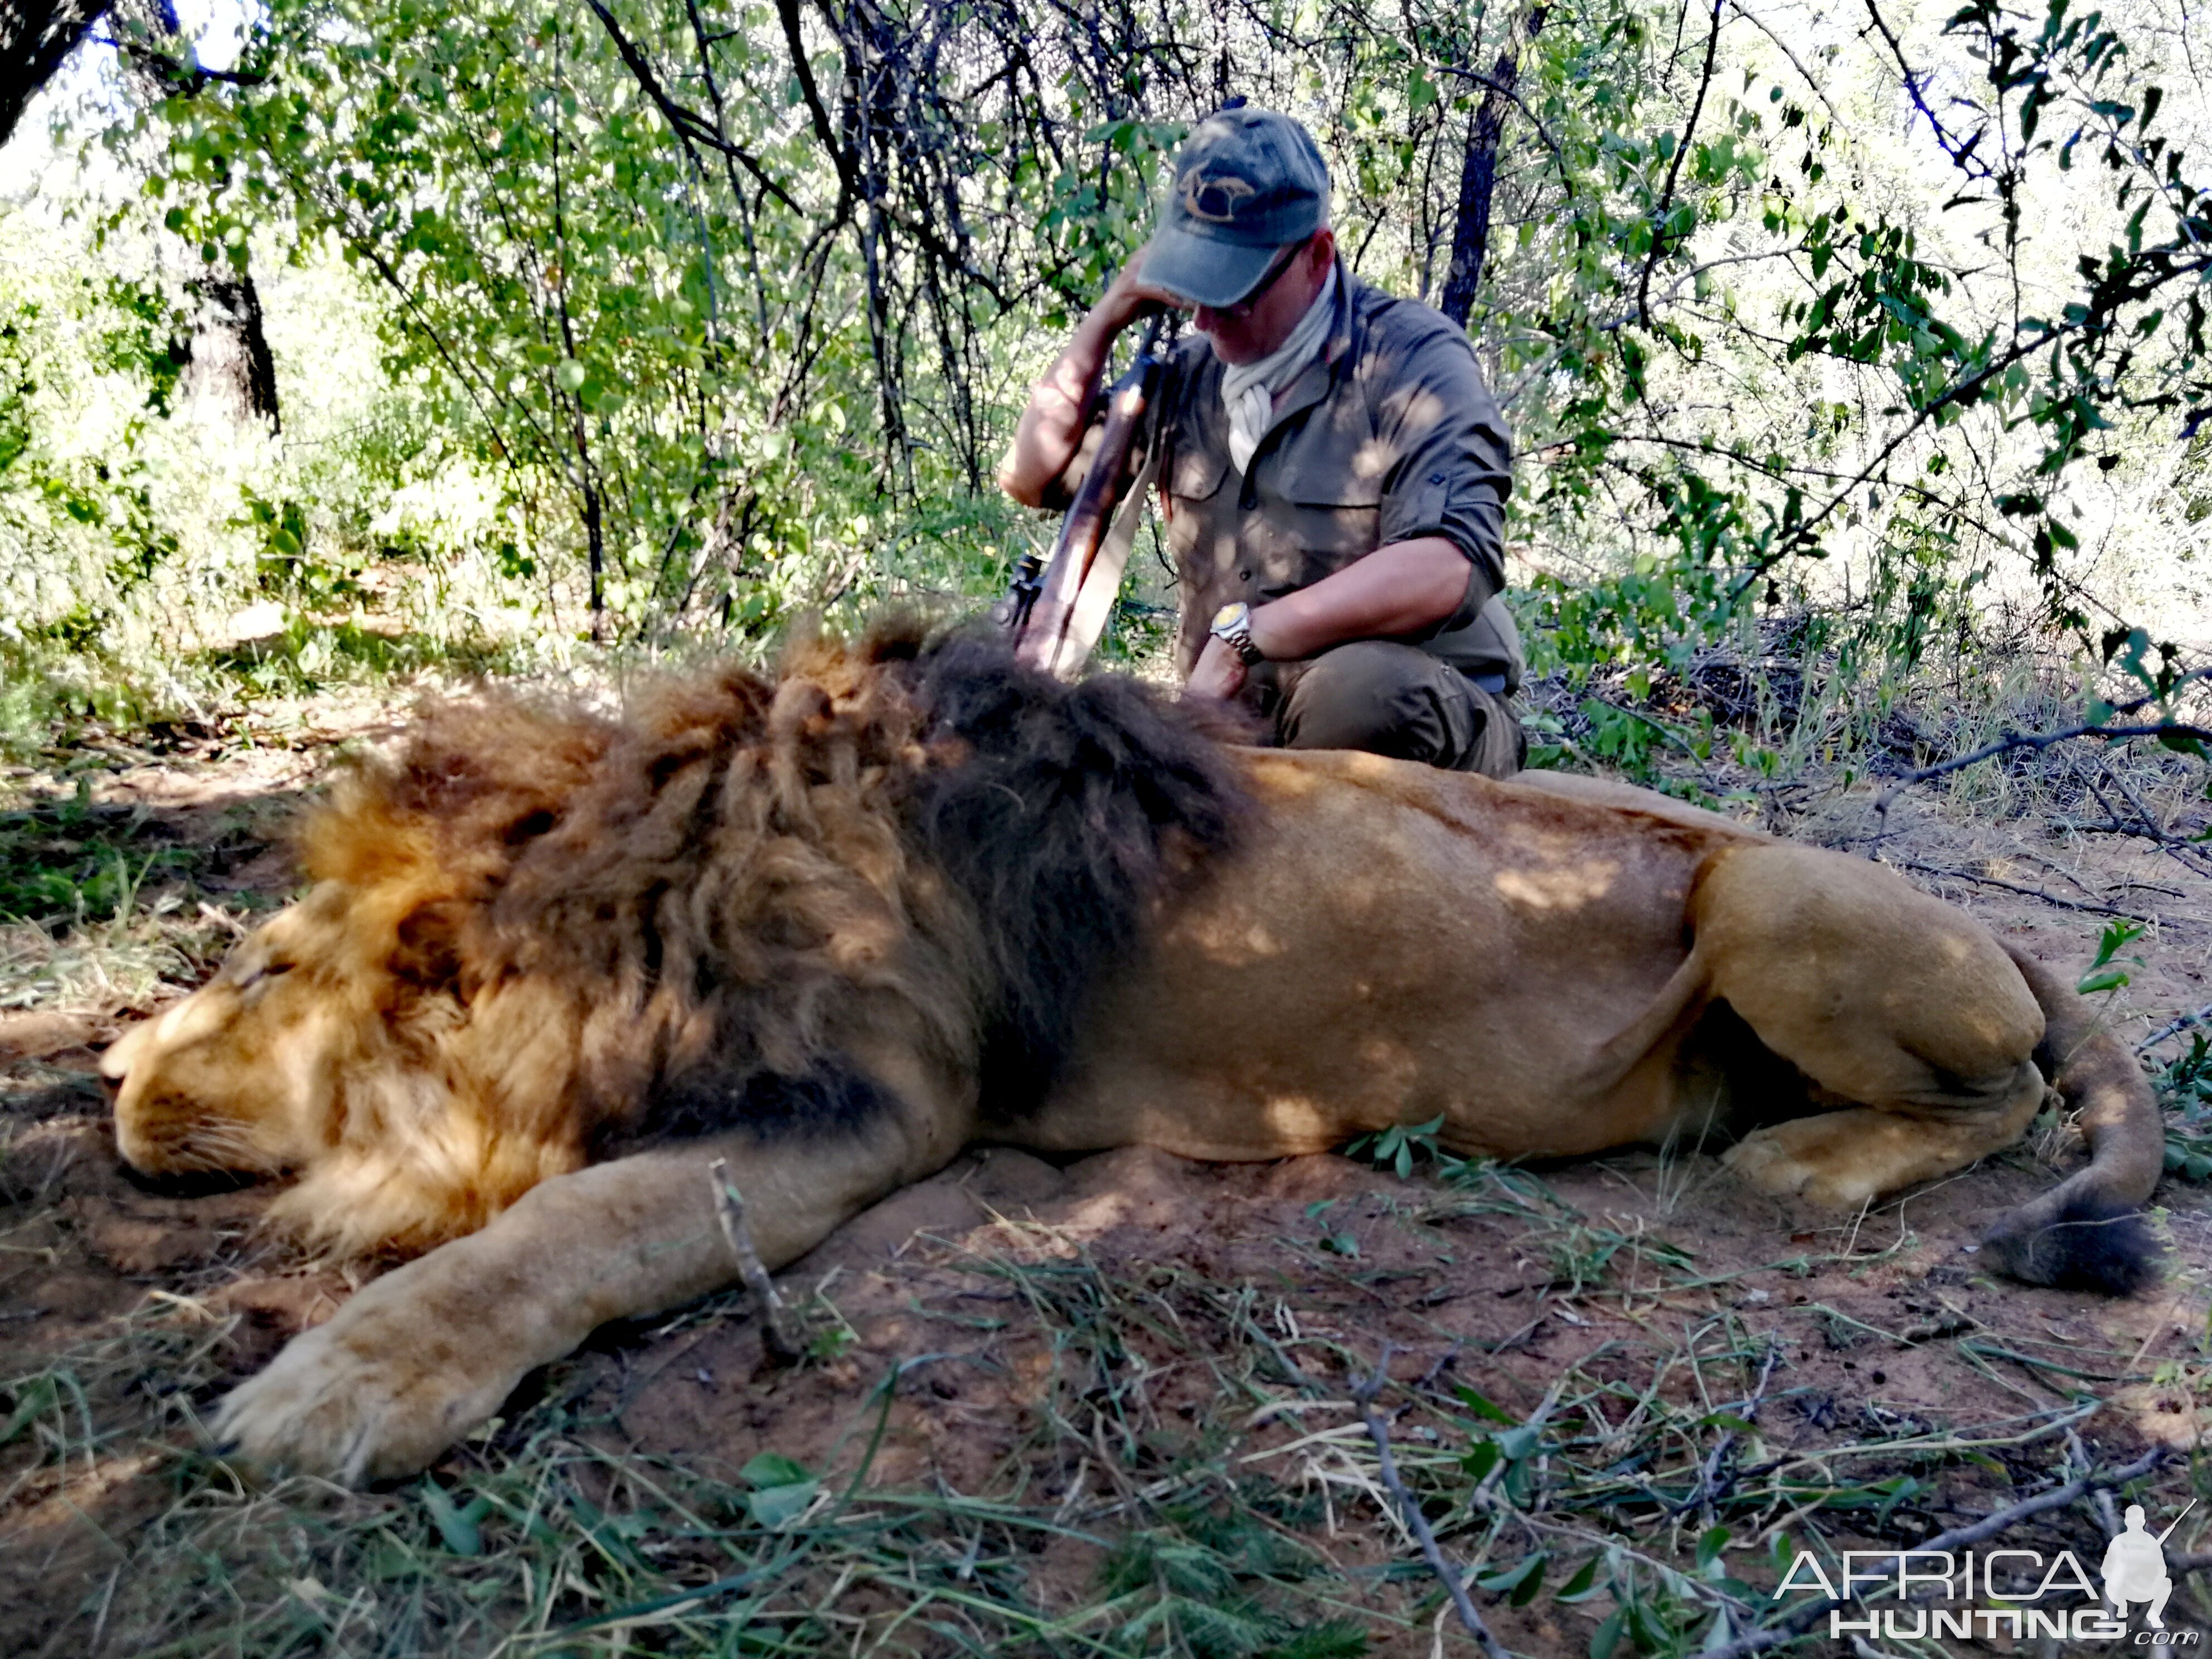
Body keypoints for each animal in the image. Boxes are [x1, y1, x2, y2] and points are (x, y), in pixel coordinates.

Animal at [104, 623, 2158, 1477]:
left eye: (269, 963)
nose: (109, 1083)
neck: (659, 888)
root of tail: (2003, 930)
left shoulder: (865, 1109)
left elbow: (564, 1228)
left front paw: (338, 1387)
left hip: (1768, 897)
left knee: (1998, 1100)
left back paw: (1804, 1161)